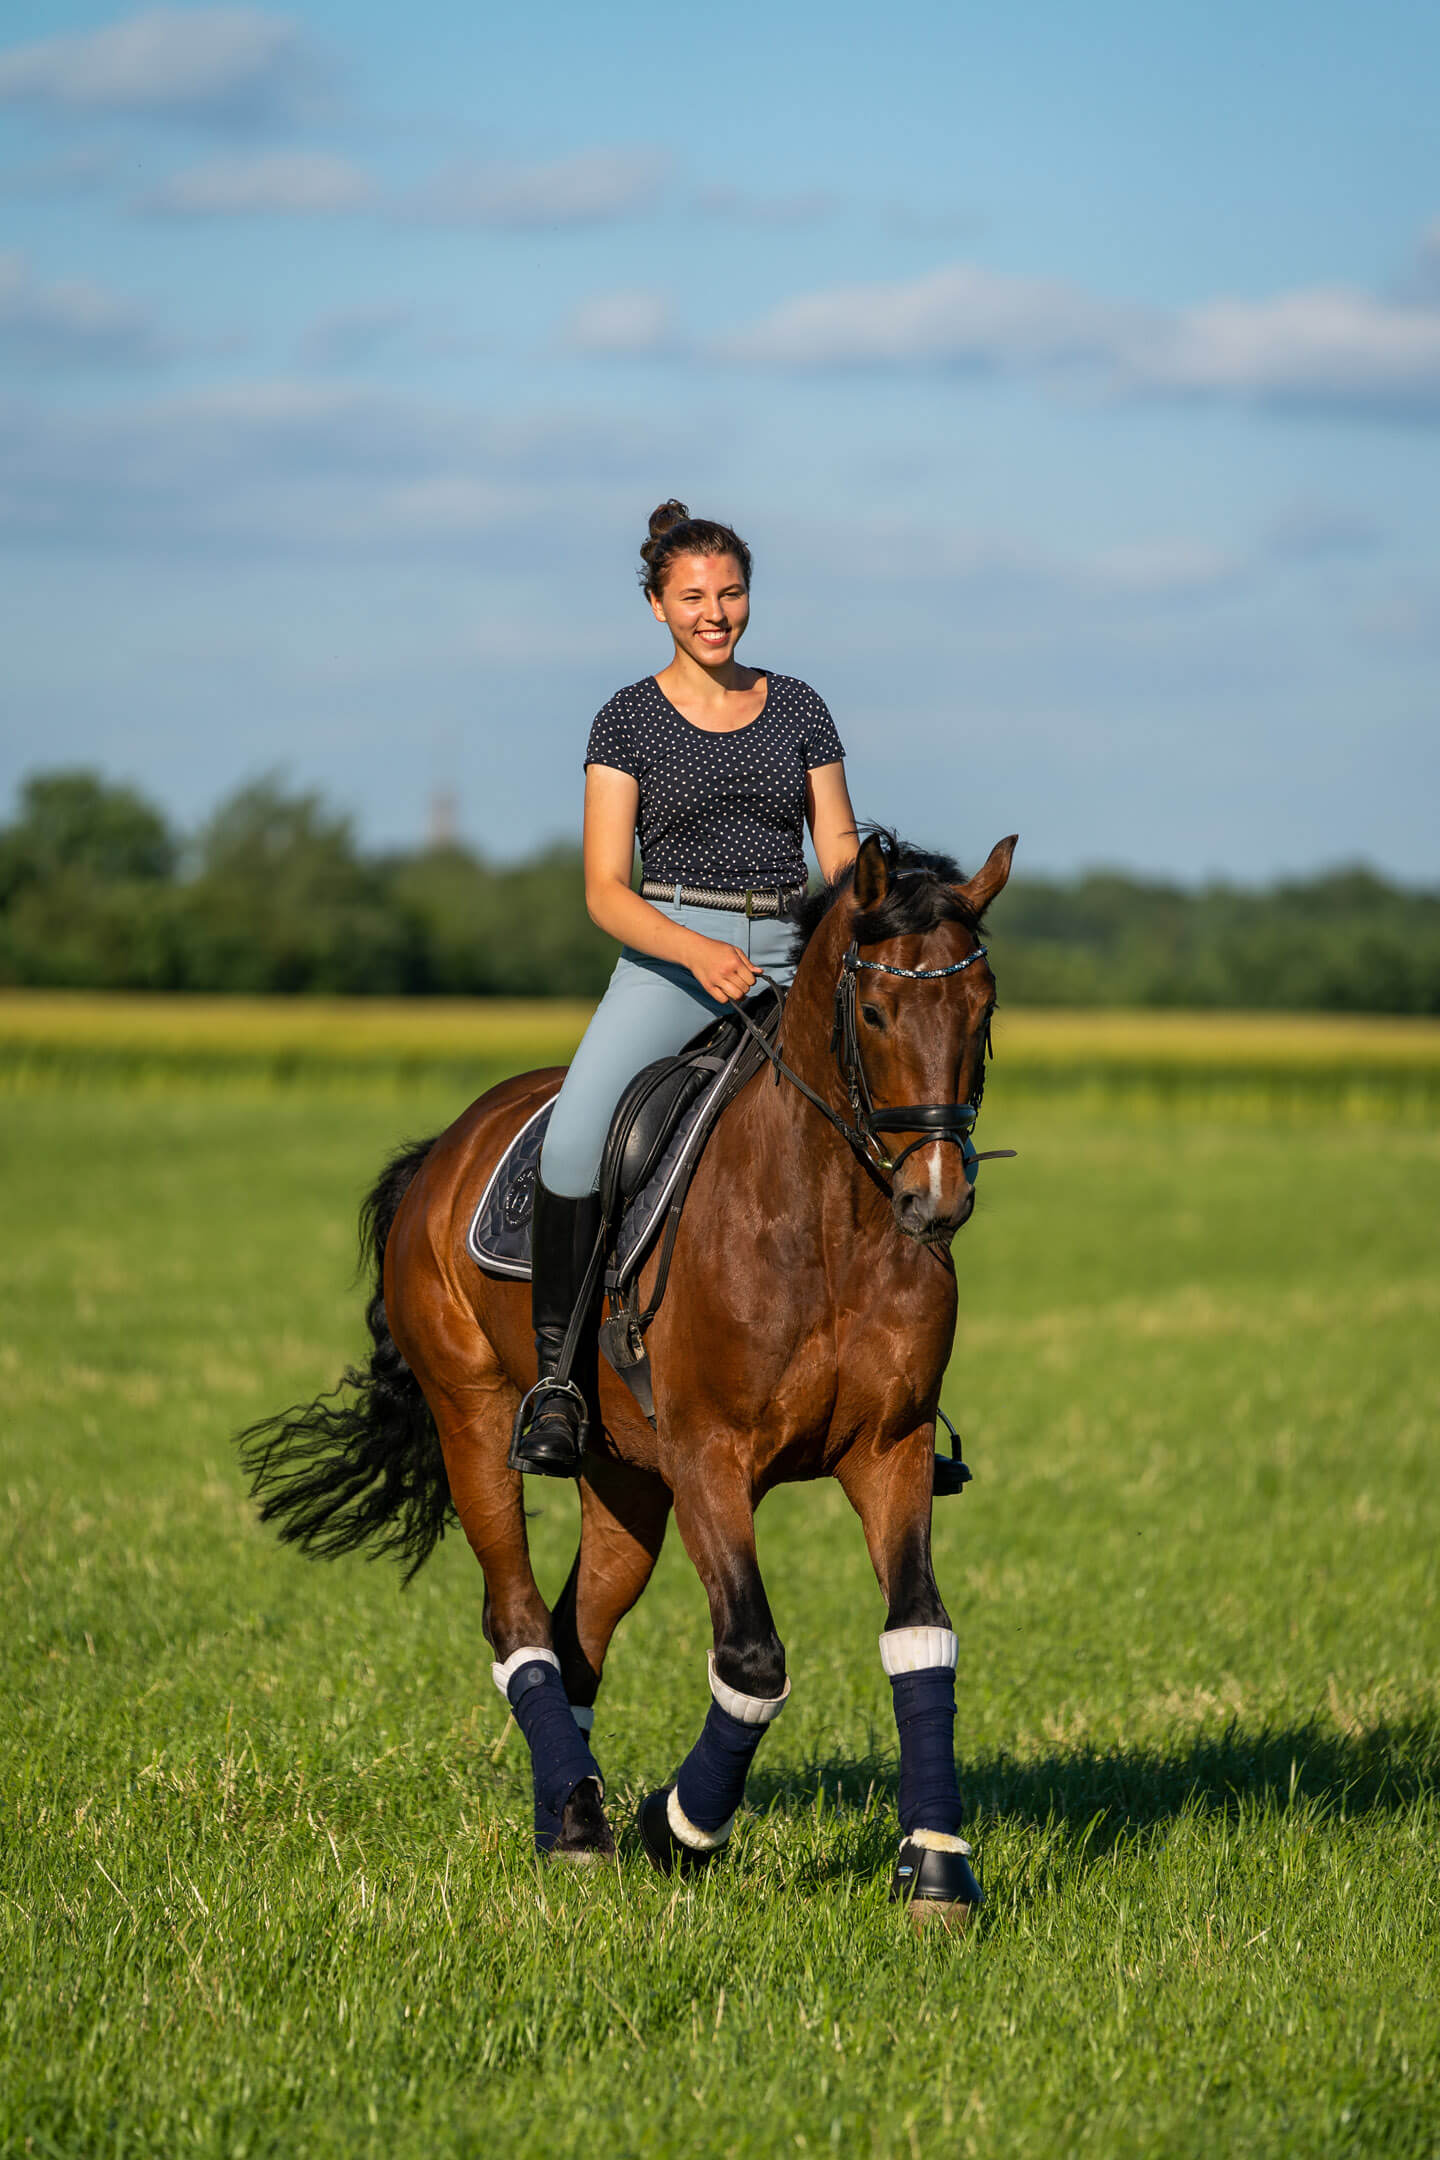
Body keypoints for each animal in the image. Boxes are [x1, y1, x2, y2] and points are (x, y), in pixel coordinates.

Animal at [238, 829, 1017, 1921]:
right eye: (872, 1011)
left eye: (982, 1010)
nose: (935, 1200)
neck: (831, 1222)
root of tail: (448, 1145)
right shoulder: (709, 1461)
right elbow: (752, 1658)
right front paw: (679, 1827)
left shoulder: (888, 1451)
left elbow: (921, 1635)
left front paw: (937, 1865)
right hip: (477, 1421)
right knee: (518, 1620)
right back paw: (579, 1827)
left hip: (625, 1481)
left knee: (576, 1633)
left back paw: (567, 1811)